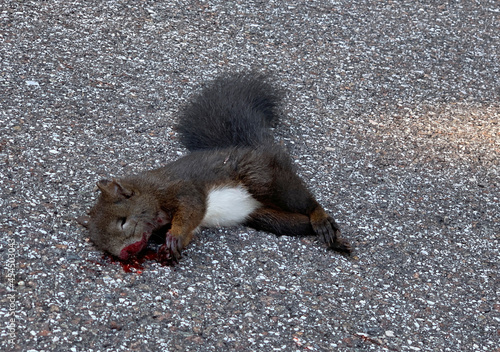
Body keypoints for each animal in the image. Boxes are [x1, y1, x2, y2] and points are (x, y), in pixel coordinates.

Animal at [78, 73, 352, 262]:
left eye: (122, 221)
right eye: (102, 245)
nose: (125, 253)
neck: (150, 191)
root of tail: (258, 149)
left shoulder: (181, 188)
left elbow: (192, 209)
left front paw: (175, 236)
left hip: (262, 179)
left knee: (304, 200)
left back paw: (321, 219)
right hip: (264, 216)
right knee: (296, 223)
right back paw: (334, 237)